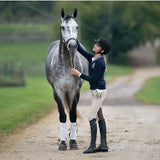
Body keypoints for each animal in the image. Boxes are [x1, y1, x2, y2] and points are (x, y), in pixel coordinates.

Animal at [45, 8, 87, 151]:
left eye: (77, 26)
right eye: (62, 27)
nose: (73, 45)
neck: (64, 65)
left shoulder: (74, 90)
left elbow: (73, 114)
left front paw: (73, 142)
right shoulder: (58, 91)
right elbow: (63, 115)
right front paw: (63, 143)